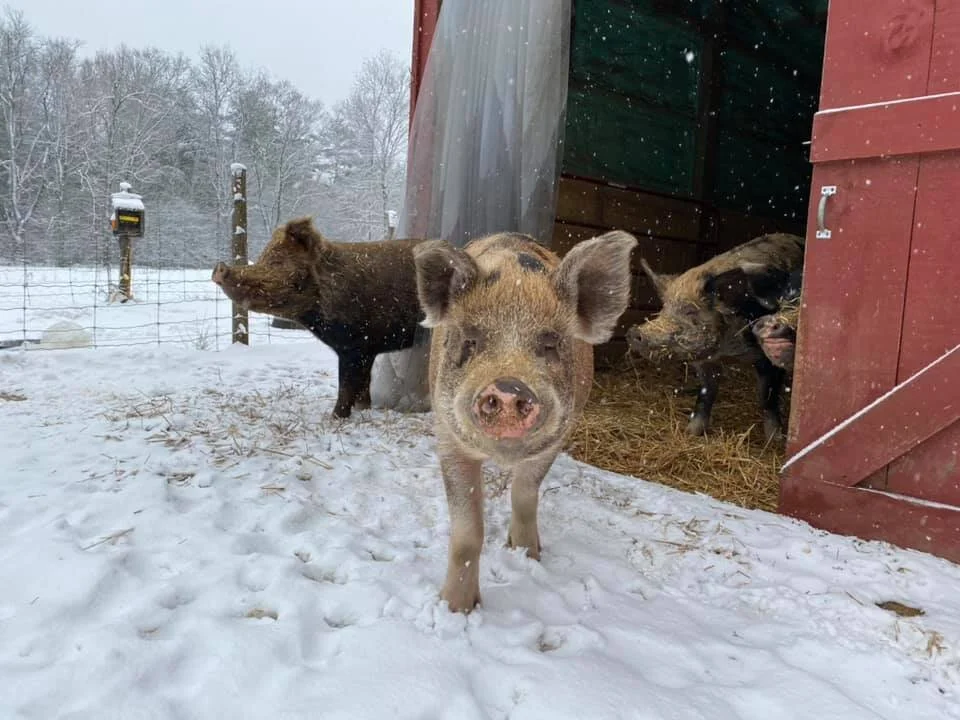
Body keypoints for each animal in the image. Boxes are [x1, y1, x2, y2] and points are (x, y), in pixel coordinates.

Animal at [212, 217, 423, 419]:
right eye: (263, 257)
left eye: (276, 261)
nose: (220, 268)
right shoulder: (367, 349)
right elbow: (363, 383)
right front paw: (363, 410)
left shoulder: (354, 345)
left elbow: (347, 384)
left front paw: (335, 417)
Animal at [413, 230, 637, 613]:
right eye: (471, 340)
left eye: (550, 344)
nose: (507, 386)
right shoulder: (448, 437)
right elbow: (467, 532)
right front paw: (455, 609)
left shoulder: (558, 436)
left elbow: (525, 491)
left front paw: (527, 554)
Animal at [626, 232, 804, 441]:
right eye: (664, 308)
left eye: (690, 311)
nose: (634, 332)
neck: (728, 348)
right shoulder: (705, 362)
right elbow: (706, 393)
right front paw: (690, 433)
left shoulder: (766, 357)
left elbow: (767, 398)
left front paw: (774, 440)